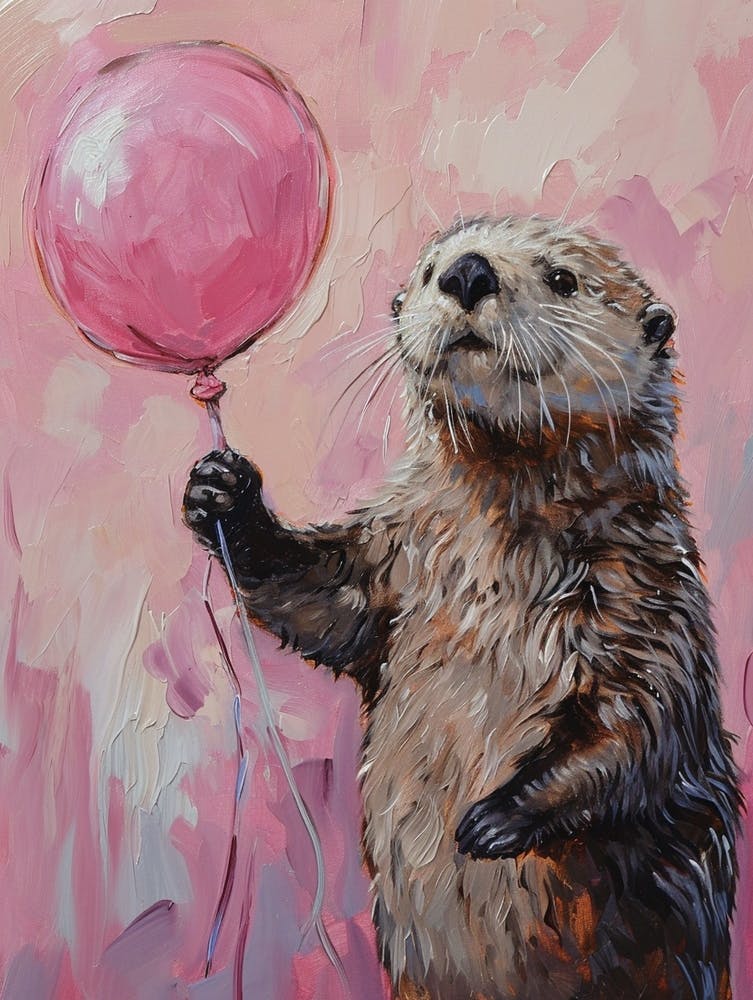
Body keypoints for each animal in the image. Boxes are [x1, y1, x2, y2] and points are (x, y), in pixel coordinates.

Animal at [183, 215, 740, 1000]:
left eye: (563, 278)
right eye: (428, 269)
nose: (468, 272)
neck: (493, 566)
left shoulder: (648, 594)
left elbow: (641, 721)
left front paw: (496, 817)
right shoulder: (393, 558)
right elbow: (321, 600)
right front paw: (223, 496)